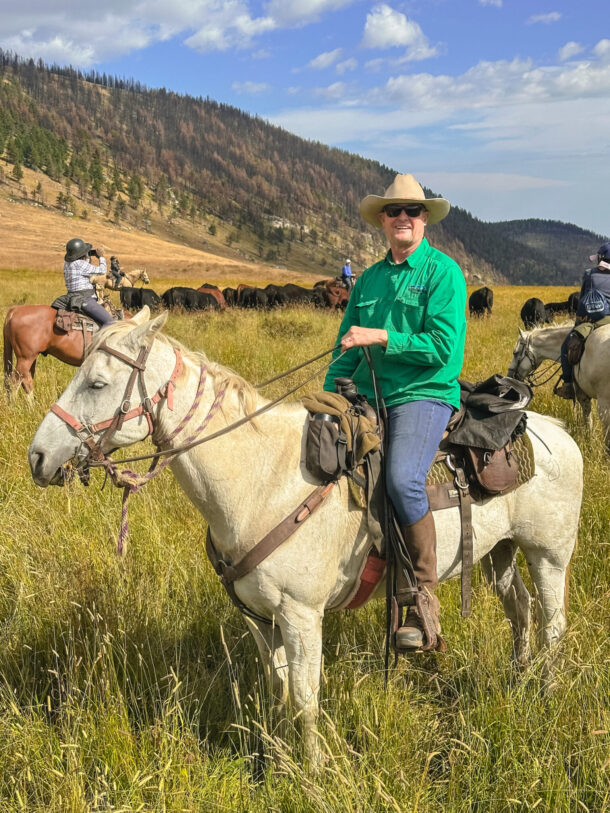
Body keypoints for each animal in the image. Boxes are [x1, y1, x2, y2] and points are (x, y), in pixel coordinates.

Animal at [28, 308, 583, 762]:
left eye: (97, 383)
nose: (38, 457)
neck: (263, 479)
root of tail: (555, 432)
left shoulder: (301, 615)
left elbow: (305, 698)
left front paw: (313, 770)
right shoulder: (259, 617)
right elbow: (278, 691)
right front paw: (277, 757)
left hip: (548, 555)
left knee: (552, 623)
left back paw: (548, 691)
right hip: (499, 553)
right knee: (520, 611)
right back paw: (519, 678)